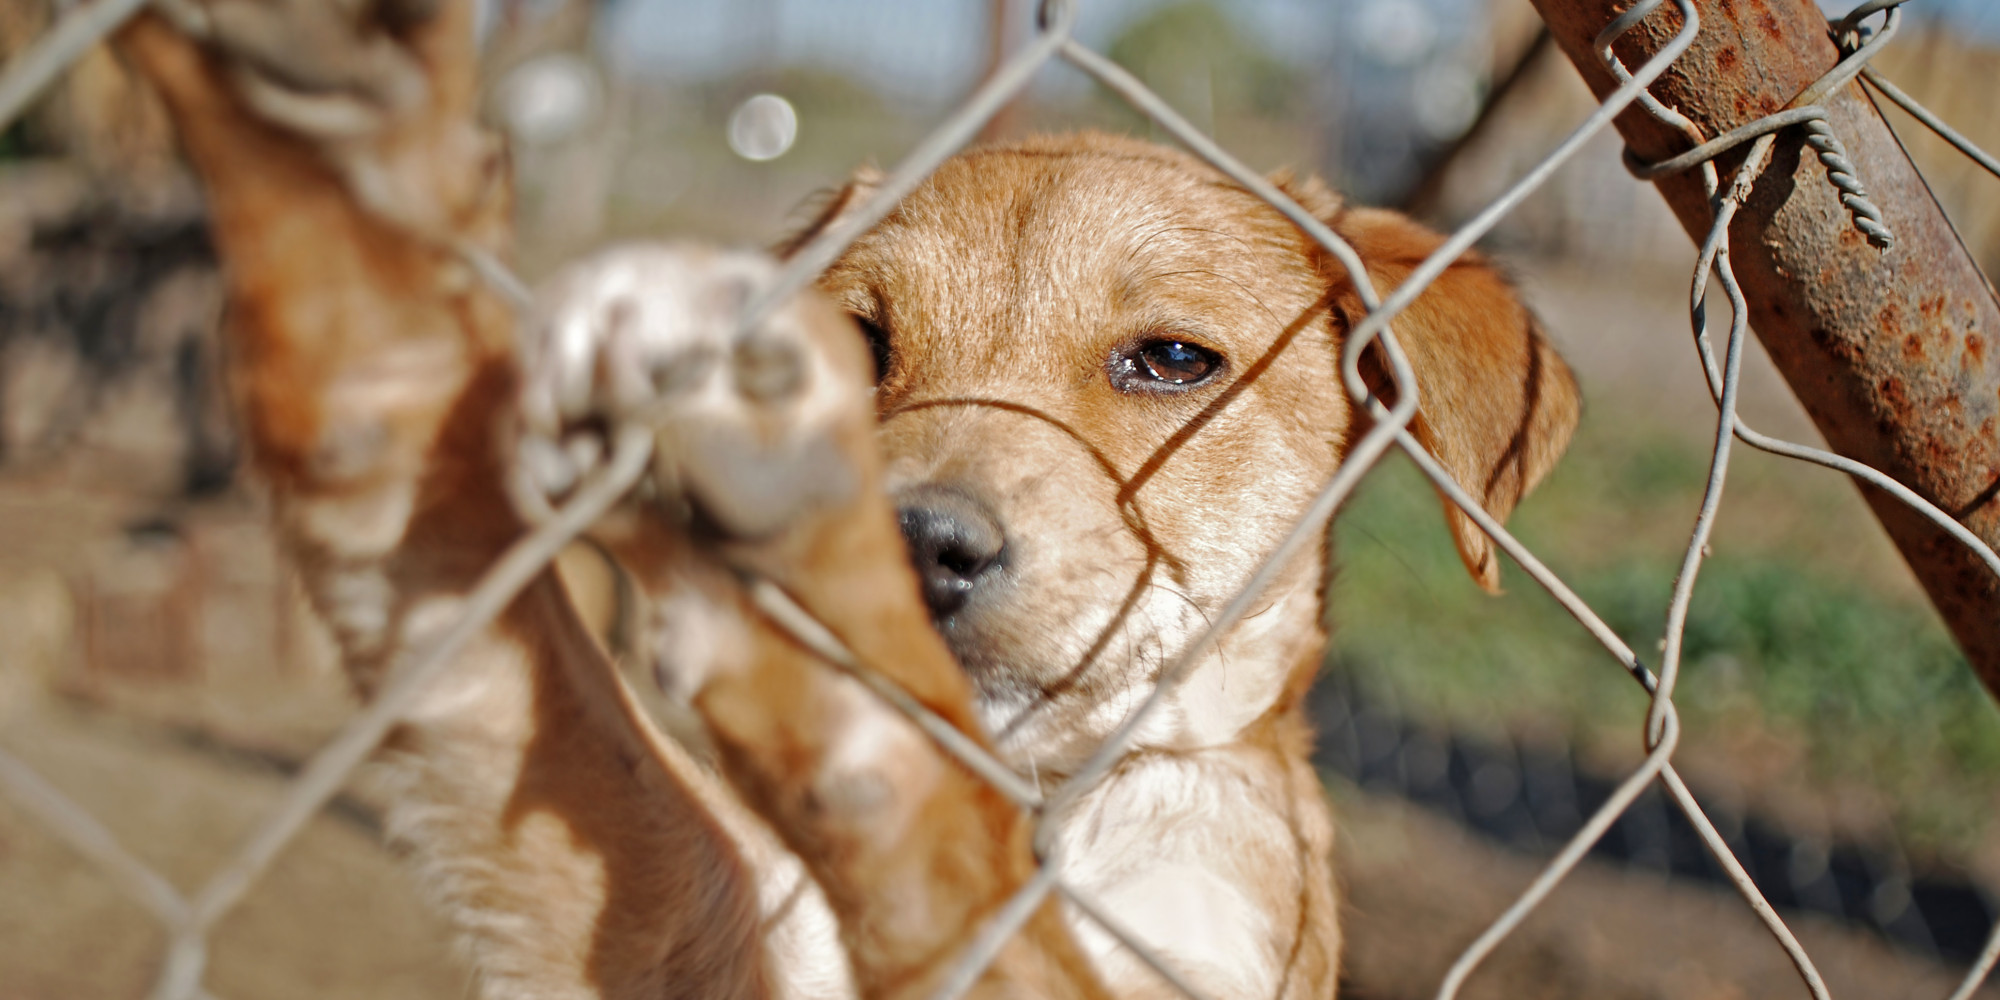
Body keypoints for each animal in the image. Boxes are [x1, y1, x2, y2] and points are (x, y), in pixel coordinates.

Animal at [117, 3, 1576, 996]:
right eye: (857, 344)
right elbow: (506, 660)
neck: (1056, 810)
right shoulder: (678, 917)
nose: (913, 543)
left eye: (1171, 361)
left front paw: (833, 628)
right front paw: (327, 195)